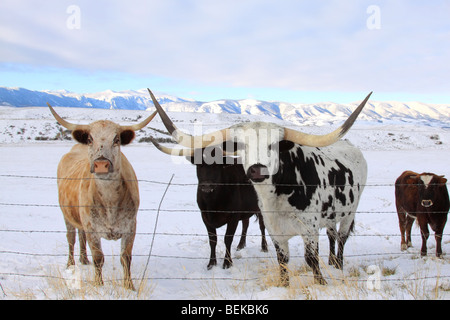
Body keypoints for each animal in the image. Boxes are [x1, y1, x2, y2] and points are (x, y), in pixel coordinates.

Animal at [47, 104, 156, 290]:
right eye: (91, 139)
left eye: (116, 139)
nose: (101, 164)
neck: (110, 200)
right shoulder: (92, 228)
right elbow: (99, 258)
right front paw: (99, 285)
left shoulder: (130, 226)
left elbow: (125, 257)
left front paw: (129, 286)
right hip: (67, 215)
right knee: (71, 238)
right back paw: (71, 264)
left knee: (80, 236)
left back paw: (84, 259)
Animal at [149, 139, 266, 270]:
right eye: (199, 165)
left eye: (217, 165)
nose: (206, 185)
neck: (213, 202)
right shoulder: (205, 216)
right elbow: (213, 239)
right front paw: (211, 263)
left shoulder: (233, 216)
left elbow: (228, 238)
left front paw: (227, 262)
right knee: (246, 223)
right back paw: (241, 245)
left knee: (262, 226)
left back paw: (264, 247)